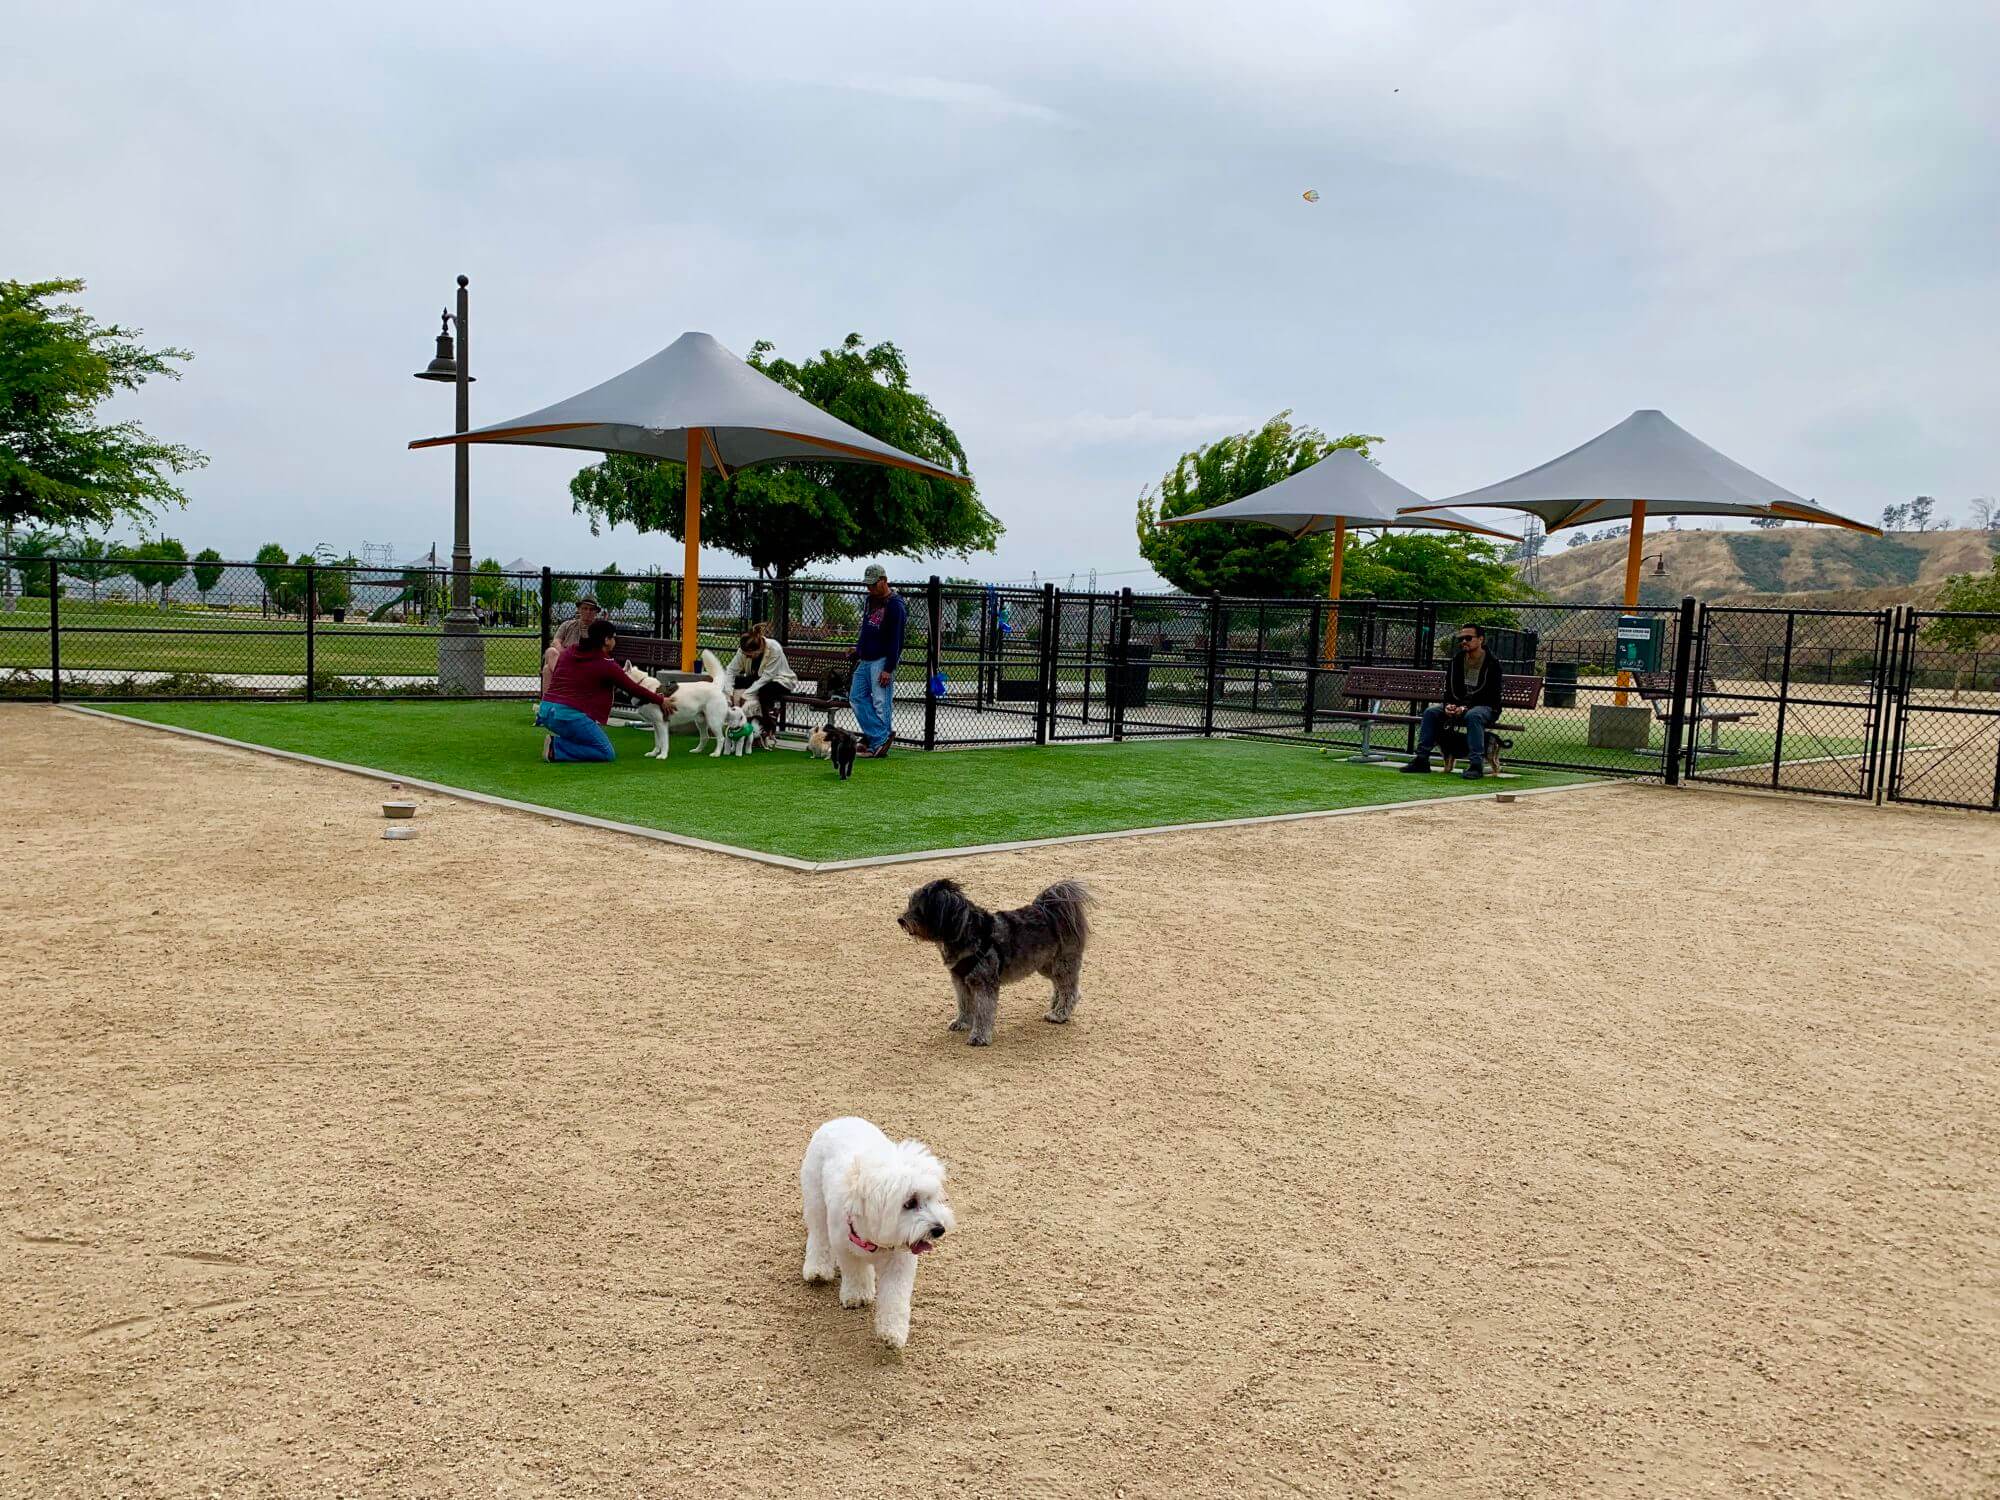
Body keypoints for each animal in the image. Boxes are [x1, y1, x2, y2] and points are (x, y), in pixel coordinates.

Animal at [796, 1120, 952, 1352]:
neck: (876, 1239)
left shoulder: (900, 1264)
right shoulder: (845, 1250)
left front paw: (892, 1332)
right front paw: (857, 1296)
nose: (939, 1229)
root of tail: (840, 1120)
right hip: (815, 1199)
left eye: (931, 1198)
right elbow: (855, 1272)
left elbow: (895, 1298)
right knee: (818, 1233)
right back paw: (817, 1270)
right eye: (909, 1203)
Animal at [904, 876, 1104, 1048]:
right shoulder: (960, 982)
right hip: (1046, 965)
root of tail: (1050, 910)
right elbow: (964, 1004)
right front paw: (962, 1022)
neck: (963, 931)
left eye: (919, 909)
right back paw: (1055, 1005)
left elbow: (983, 1012)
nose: (901, 920)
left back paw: (1060, 1014)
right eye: (910, 904)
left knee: (1070, 990)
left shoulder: (984, 984)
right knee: (1060, 986)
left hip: (1062, 964)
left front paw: (979, 1037)